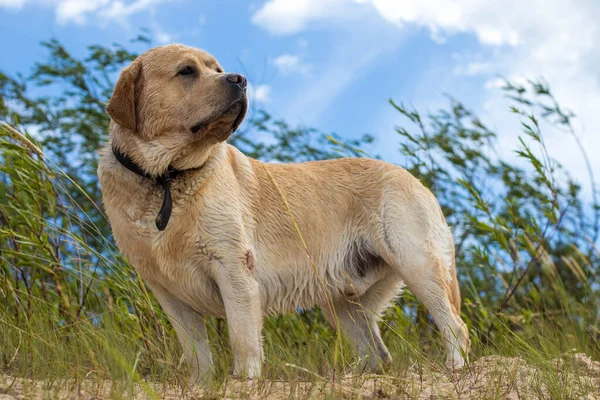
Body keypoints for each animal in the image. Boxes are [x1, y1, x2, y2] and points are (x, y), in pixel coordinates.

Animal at [97, 43, 468, 382]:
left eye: (216, 68)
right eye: (186, 71)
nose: (240, 79)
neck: (165, 176)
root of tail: (416, 180)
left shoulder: (234, 270)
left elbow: (243, 341)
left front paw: (245, 382)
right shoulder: (168, 292)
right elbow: (196, 355)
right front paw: (200, 385)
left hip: (417, 263)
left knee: (455, 327)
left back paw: (455, 370)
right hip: (346, 304)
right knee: (378, 354)